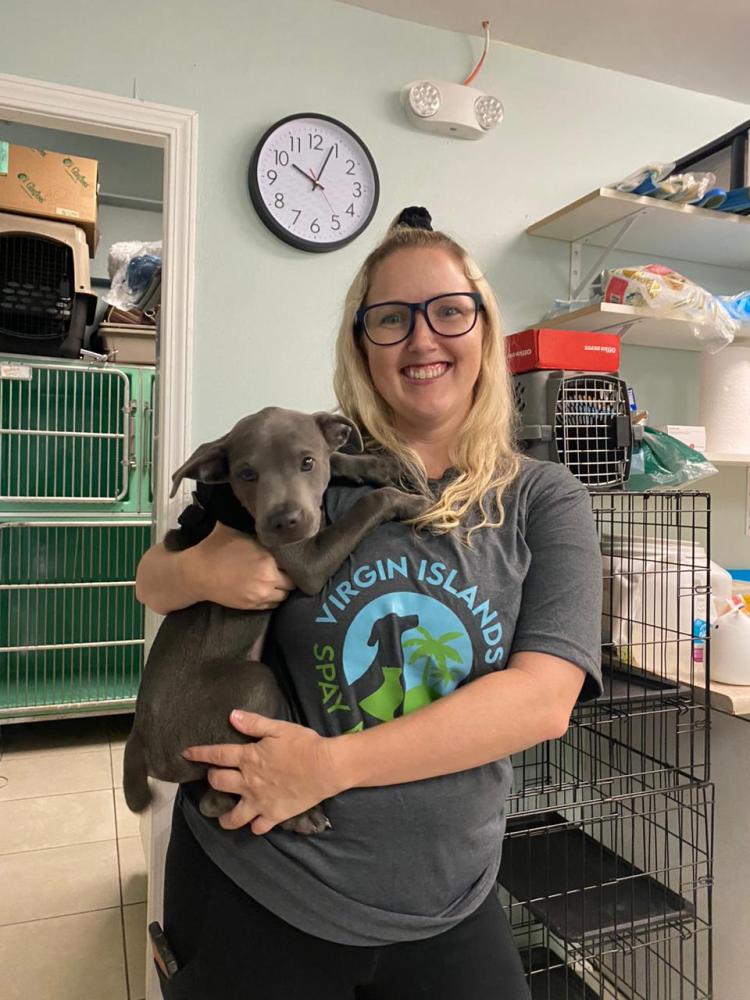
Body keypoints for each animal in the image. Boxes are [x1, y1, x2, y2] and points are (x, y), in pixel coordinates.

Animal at [126, 406, 426, 836]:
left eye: (307, 462)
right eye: (246, 474)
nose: (285, 521)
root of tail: (137, 739)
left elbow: (337, 457)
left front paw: (377, 465)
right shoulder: (306, 561)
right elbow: (368, 505)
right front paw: (408, 500)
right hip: (253, 684)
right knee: (221, 798)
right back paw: (302, 816)